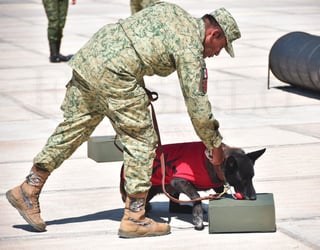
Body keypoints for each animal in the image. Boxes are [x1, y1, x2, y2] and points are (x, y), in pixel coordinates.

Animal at [120, 141, 264, 230]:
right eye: (242, 180)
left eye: (252, 177)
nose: (253, 197)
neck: (214, 163)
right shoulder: (178, 181)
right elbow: (196, 195)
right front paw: (197, 217)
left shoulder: (217, 184)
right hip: (151, 189)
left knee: (174, 207)